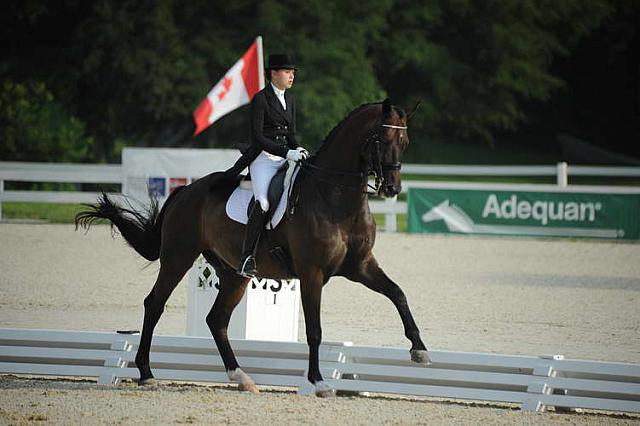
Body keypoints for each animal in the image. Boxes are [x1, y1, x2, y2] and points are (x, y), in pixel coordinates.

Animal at [75, 98, 430, 398]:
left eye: (405, 143)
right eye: (382, 140)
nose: (392, 188)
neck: (335, 198)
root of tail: (185, 191)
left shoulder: (361, 266)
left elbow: (398, 293)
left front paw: (419, 349)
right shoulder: (312, 273)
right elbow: (314, 329)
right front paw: (318, 382)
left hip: (234, 274)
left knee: (216, 319)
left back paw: (241, 377)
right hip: (178, 257)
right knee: (155, 304)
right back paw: (147, 373)